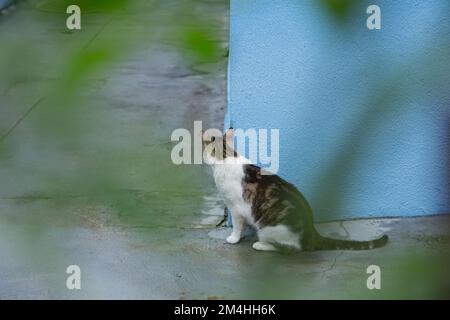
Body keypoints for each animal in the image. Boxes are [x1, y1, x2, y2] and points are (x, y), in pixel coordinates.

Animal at [202, 129, 388, 251]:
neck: (226, 156)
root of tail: (312, 232)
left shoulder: (236, 208)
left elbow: (237, 225)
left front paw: (234, 238)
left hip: (268, 228)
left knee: (291, 247)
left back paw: (260, 244)